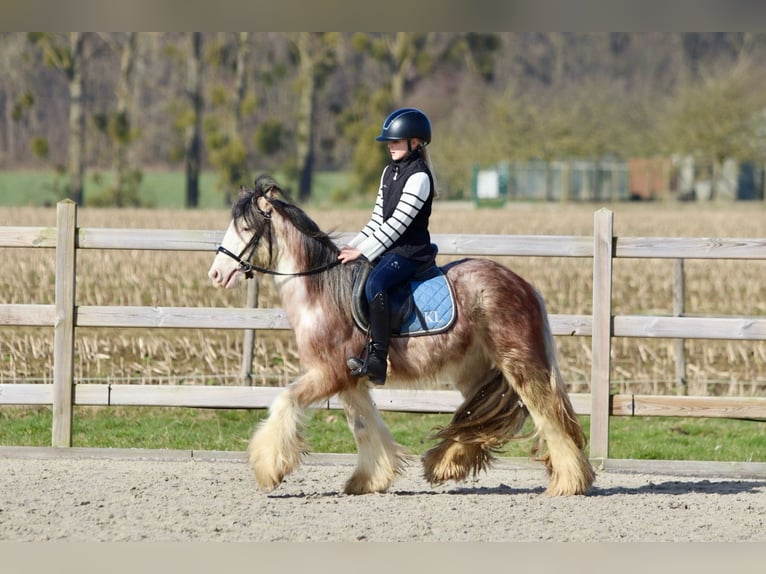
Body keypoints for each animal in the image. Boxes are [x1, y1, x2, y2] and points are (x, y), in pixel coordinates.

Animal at [207, 176, 596, 500]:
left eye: (245, 227)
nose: (216, 274)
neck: (320, 291)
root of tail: (524, 285)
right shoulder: (350, 379)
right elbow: (364, 426)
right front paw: (370, 479)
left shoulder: (329, 373)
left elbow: (285, 402)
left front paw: (267, 468)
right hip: (474, 370)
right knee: (481, 415)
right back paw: (445, 464)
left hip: (519, 362)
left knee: (546, 413)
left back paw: (568, 483)